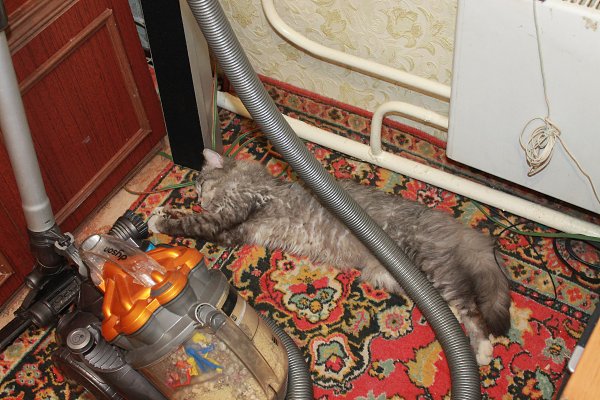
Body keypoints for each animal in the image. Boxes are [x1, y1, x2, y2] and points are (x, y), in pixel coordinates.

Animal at [155, 148, 512, 365]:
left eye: (201, 185)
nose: (198, 198)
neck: (247, 178)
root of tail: (454, 225)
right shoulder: (232, 232)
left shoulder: (227, 214)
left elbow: (189, 223)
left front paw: (158, 220)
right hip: (402, 277)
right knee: (457, 305)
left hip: (433, 268)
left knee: (472, 309)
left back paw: (482, 350)